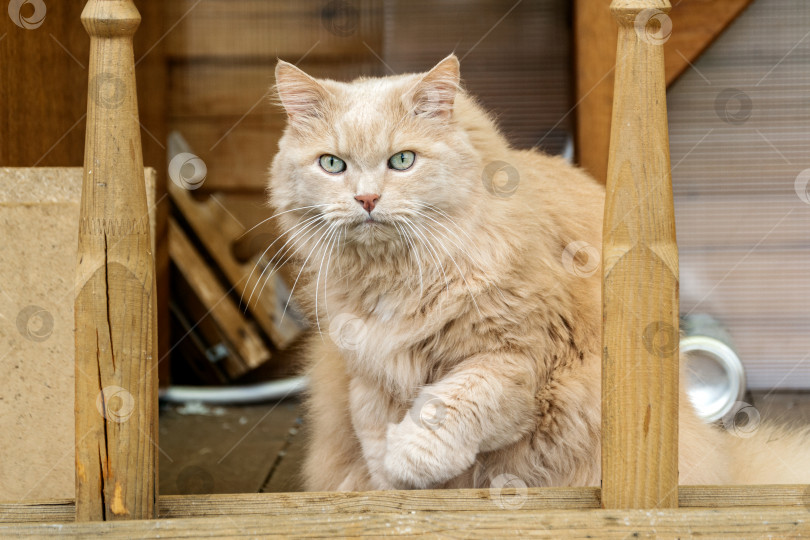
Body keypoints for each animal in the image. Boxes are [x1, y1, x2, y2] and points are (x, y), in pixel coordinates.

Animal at [266, 53, 808, 490]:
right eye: (332, 164)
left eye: (402, 160)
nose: (366, 199)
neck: (396, 277)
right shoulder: (367, 371)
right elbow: (375, 434)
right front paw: (389, 485)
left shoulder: (522, 360)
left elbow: (448, 405)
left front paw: (411, 461)